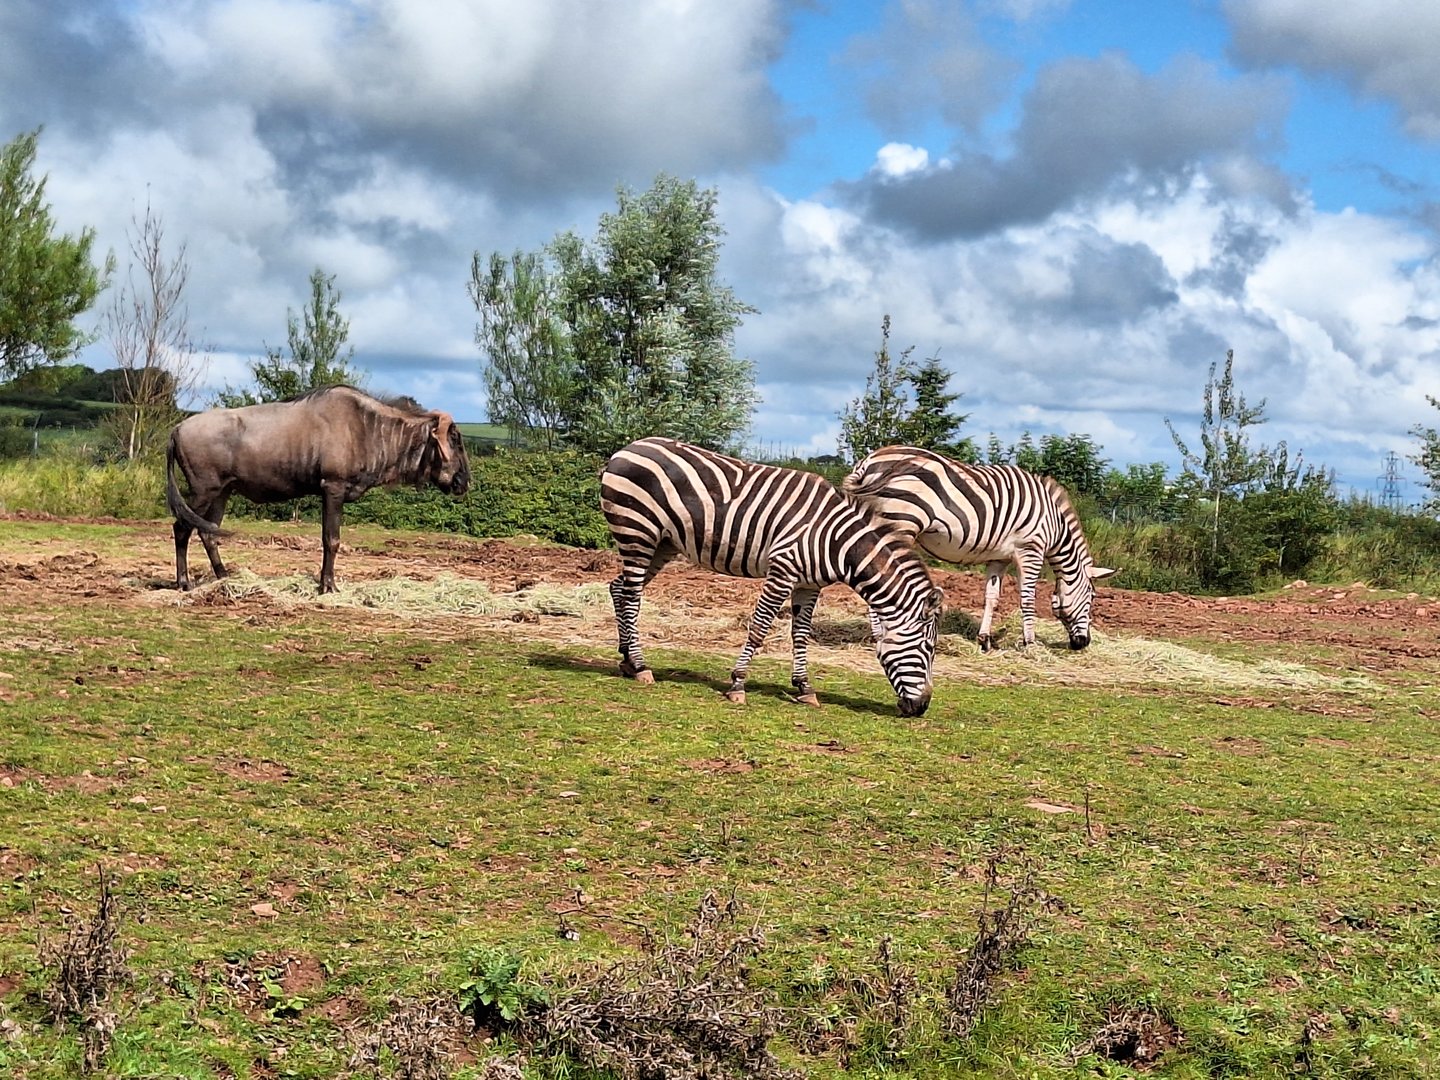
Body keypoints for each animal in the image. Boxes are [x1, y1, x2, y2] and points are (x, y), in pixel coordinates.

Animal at [600, 437, 944, 716]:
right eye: (928, 648)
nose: (922, 708)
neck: (837, 541)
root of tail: (630, 447)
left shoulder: (809, 584)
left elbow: (801, 634)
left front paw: (804, 688)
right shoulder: (783, 570)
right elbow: (759, 627)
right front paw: (737, 684)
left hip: (663, 542)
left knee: (619, 588)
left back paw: (627, 660)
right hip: (637, 531)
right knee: (631, 597)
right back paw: (641, 666)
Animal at [843, 446, 1116, 651]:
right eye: (1092, 597)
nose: (1083, 643)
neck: (1055, 525)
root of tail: (869, 461)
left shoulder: (999, 558)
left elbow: (991, 597)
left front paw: (984, 640)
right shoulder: (1030, 549)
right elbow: (1028, 597)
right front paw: (1029, 643)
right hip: (899, 522)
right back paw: (881, 635)